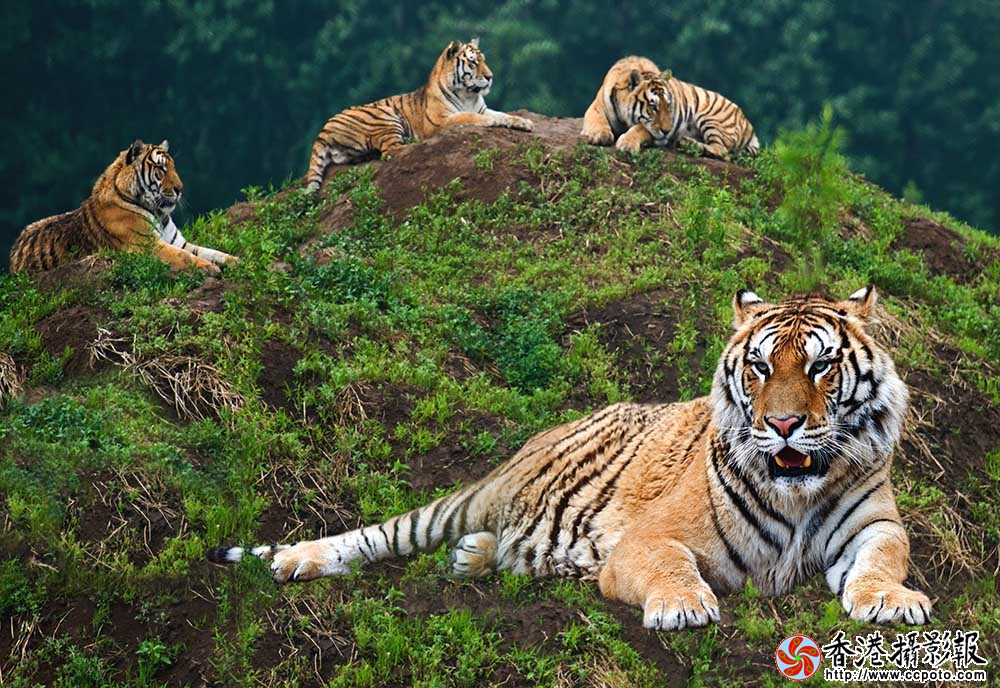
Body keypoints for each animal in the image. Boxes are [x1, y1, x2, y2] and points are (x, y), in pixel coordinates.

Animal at [9, 140, 236, 275]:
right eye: (161, 169)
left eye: (173, 166)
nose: (180, 189)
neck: (158, 213)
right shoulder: (146, 245)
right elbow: (184, 257)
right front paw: (210, 269)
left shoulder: (179, 242)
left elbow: (210, 251)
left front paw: (236, 261)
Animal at [209, 286, 931, 630]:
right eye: (758, 367)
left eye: (820, 366)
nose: (782, 425)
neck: (797, 495)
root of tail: (536, 438)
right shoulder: (651, 537)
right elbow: (668, 565)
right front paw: (682, 606)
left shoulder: (873, 522)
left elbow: (883, 558)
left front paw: (893, 601)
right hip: (480, 497)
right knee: (382, 535)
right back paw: (296, 561)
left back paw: (472, 557)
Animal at [304, 38, 534, 194]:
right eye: (473, 62)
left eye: (483, 60)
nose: (490, 77)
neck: (469, 94)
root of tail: (323, 130)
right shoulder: (442, 121)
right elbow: (473, 118)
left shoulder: (482, 109)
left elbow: (504, 114)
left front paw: (525, 122)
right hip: (385, 116)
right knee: (391, 151)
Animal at [581, 56, 759, 159]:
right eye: (653, 106)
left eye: (668, 105)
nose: (667, 131)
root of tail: (749, 125)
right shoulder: (597, 105)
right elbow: (595, 117)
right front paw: (599, 134)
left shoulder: (654, 132)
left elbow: (640, 128)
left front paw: (627, 144)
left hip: (711, 118)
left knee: (722, 151)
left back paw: (687, 143)